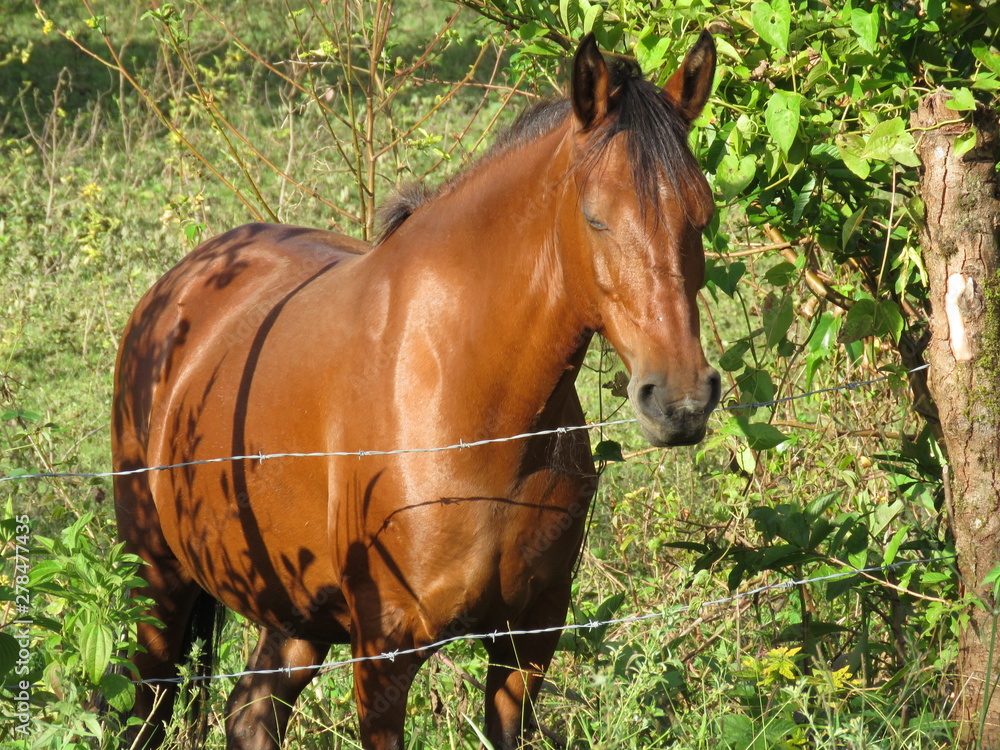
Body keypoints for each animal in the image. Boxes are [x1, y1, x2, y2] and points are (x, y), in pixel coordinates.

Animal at [112, 31, 720, 750]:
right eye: (595, 218)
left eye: (703, 215)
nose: (680, 400)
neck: (478, 411)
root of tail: (177, 287)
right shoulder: (385, 656)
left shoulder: (527, 645)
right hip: (156, 582)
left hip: (296, 616)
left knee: (251, 713)